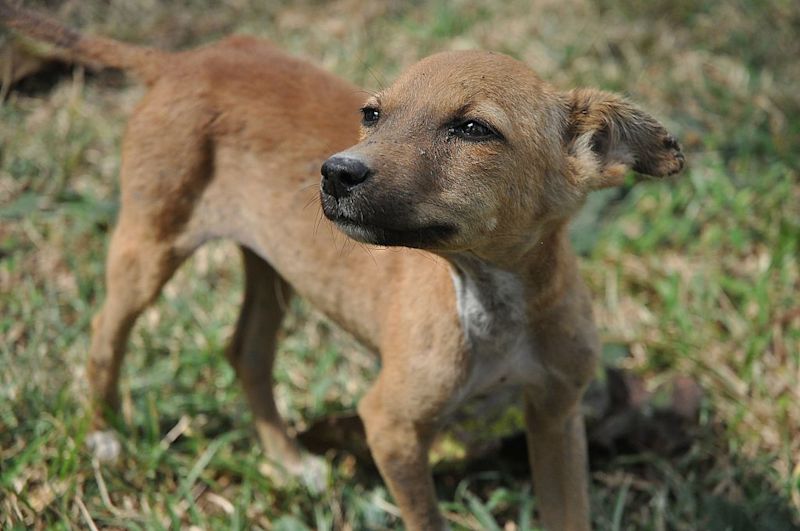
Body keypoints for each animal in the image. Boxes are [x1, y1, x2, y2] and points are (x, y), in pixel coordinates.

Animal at [3, 2, 684, 528]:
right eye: (372, 114)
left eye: (473, 129)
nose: (335, 173)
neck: (491, 299)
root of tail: (182, 60)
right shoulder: (389, 425)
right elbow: (426, 519)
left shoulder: (558, 416)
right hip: (149, 244)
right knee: (105, 335)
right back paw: (103, 434)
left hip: (271, 263)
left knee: (247, 352)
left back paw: (288, 461)